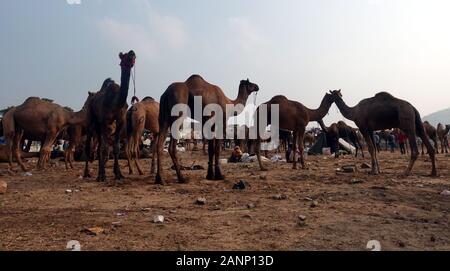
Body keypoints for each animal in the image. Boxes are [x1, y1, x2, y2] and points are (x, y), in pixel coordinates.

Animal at [82, 49, 135, 184]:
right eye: (124, 55)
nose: (132, 52)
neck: (115, 102)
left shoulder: (120, 121)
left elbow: (115, 148)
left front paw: (118, 174)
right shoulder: (105, 121)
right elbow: (105, 149)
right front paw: (103, 176)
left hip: (98, 127)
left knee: (99, 147)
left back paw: (98, 173)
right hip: (91, 122)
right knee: (89, 147)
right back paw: (87, 173)